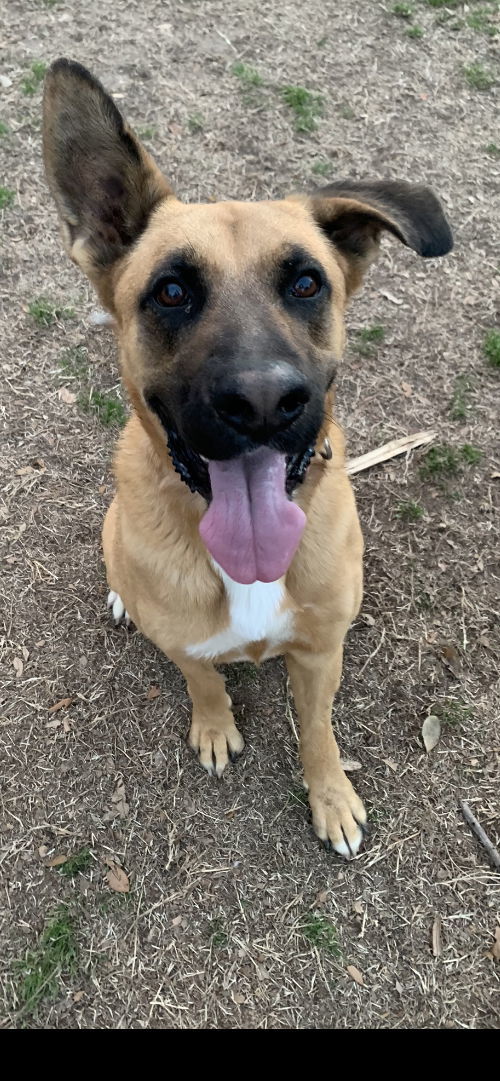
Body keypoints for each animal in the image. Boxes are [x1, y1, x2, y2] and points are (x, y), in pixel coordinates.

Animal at [43, 61, 453, 860]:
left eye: (307, 283)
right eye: (171, 291)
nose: (264, 401)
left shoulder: (321, 653)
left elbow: (319, 731)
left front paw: (332, 798)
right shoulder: (187, 644)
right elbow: (203, 680)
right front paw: (214, 726)